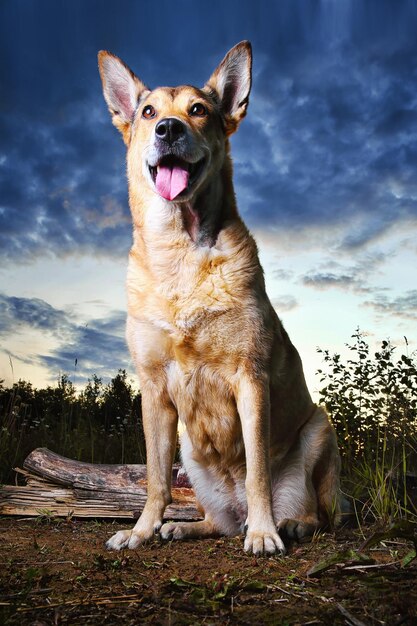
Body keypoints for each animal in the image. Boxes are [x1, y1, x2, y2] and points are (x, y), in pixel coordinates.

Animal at [99, 41, 340, 552]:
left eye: (199, 110)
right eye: (148, 112)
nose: (169, 128)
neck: (181, 255)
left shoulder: (251, 378)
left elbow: (257, 472)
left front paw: (266, 534)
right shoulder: (153, 392)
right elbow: (155, 479)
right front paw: (142, 530)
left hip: (319, 430)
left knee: (317, 513)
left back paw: (286, 524)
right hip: (191, 454)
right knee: (218, 519)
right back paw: (185, 526)